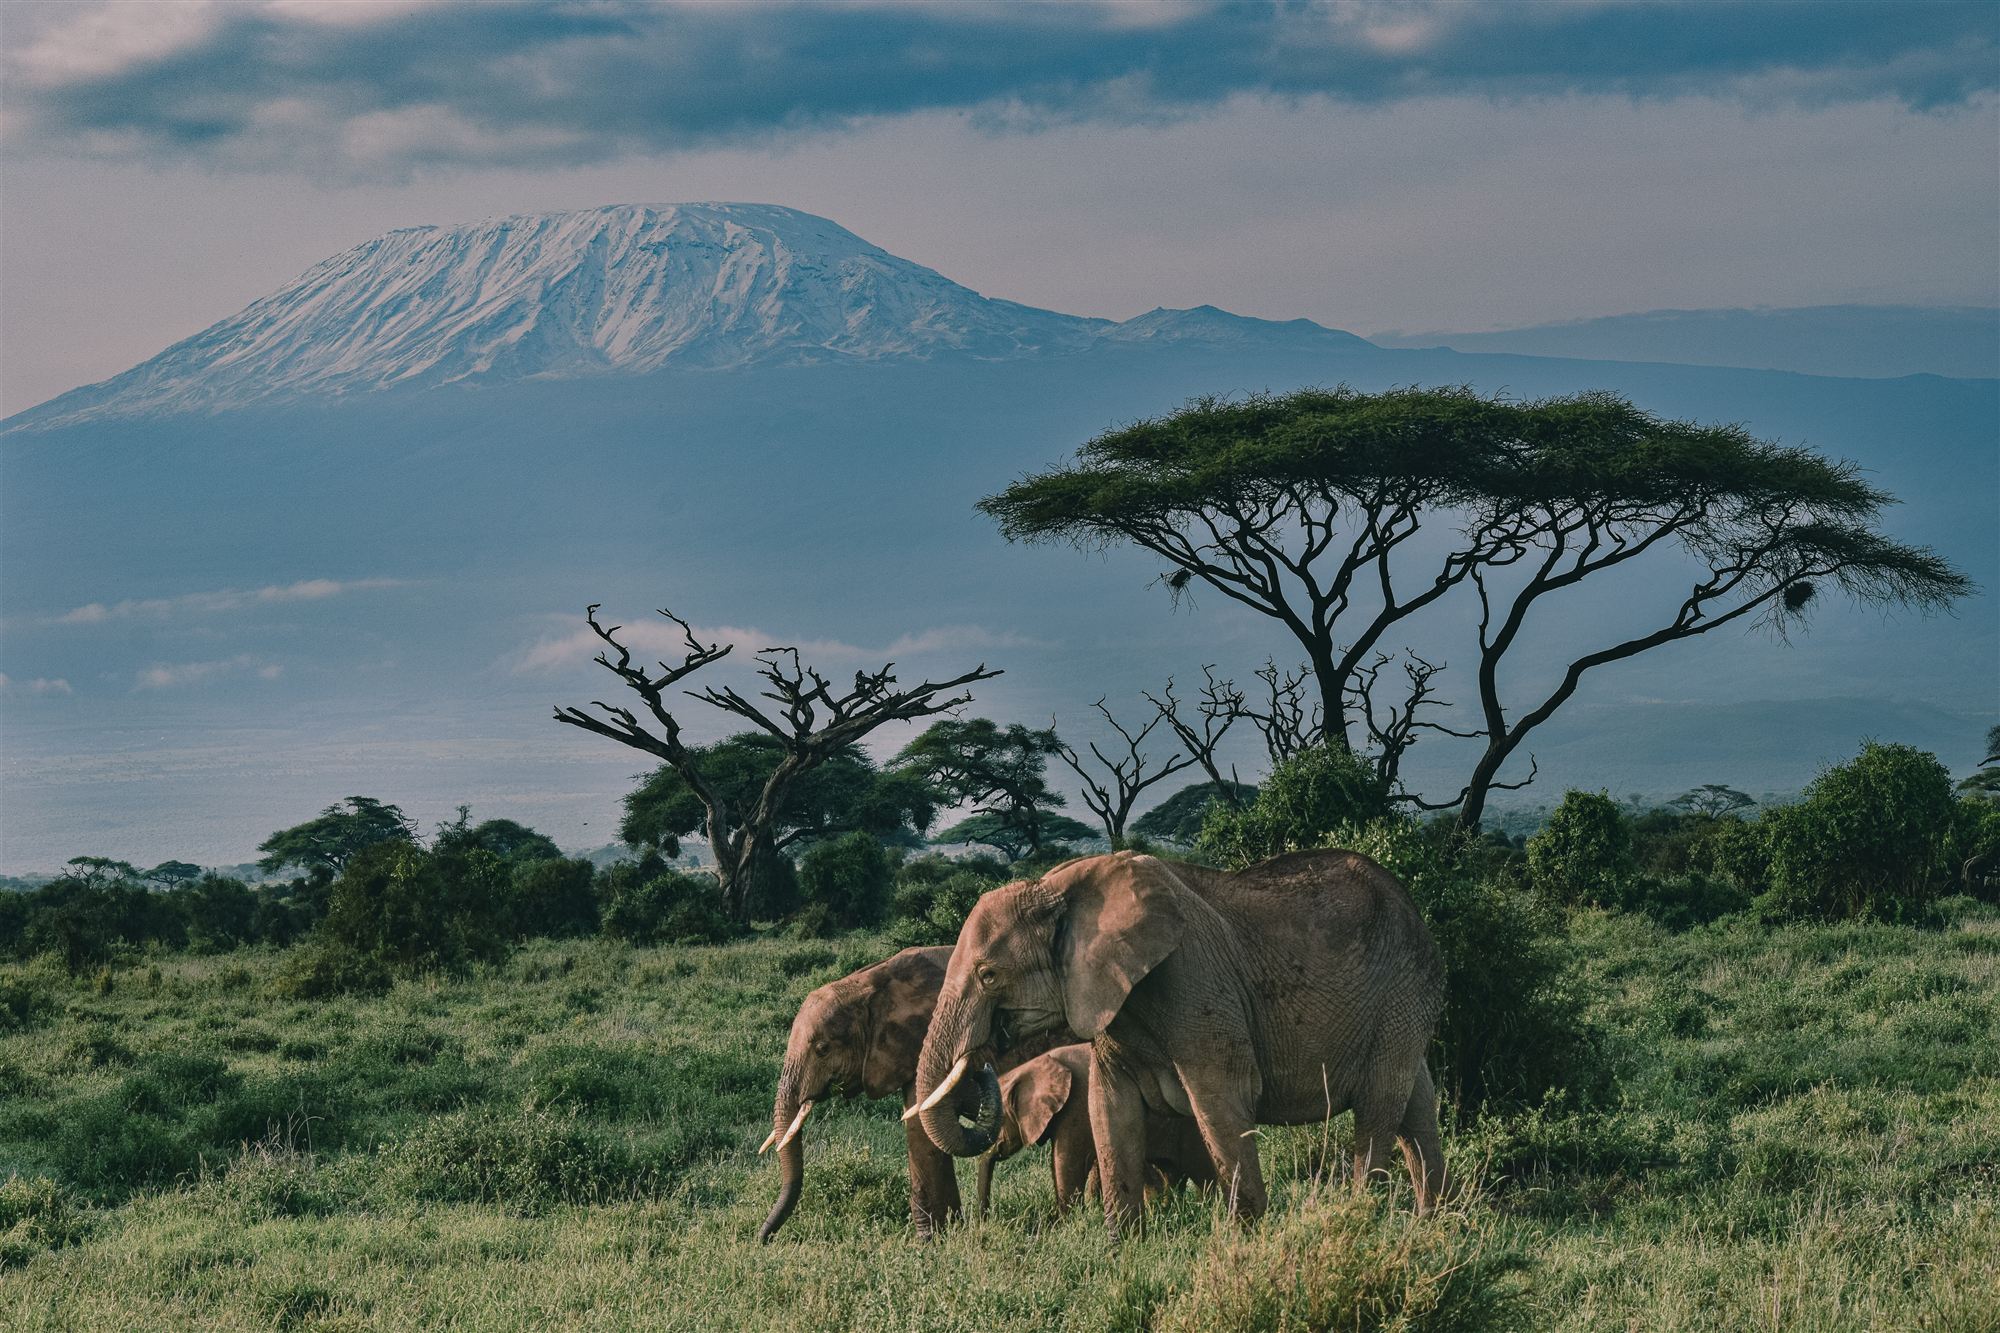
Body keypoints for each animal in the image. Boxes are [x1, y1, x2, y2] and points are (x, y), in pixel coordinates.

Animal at [758, 945, 1064, 1242]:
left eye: (823, 1049)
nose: (764, 1238)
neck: (866, 982)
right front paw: (937, 1237)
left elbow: (923, 1124)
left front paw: (933, 1240)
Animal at [974, 1043, 1216, 1220]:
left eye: (996, 1120)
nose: (984, 1220)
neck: (1036, 1065)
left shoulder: (1077, 1106)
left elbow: (1067, 1163)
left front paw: (1065, 1223)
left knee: (1204, 1173)